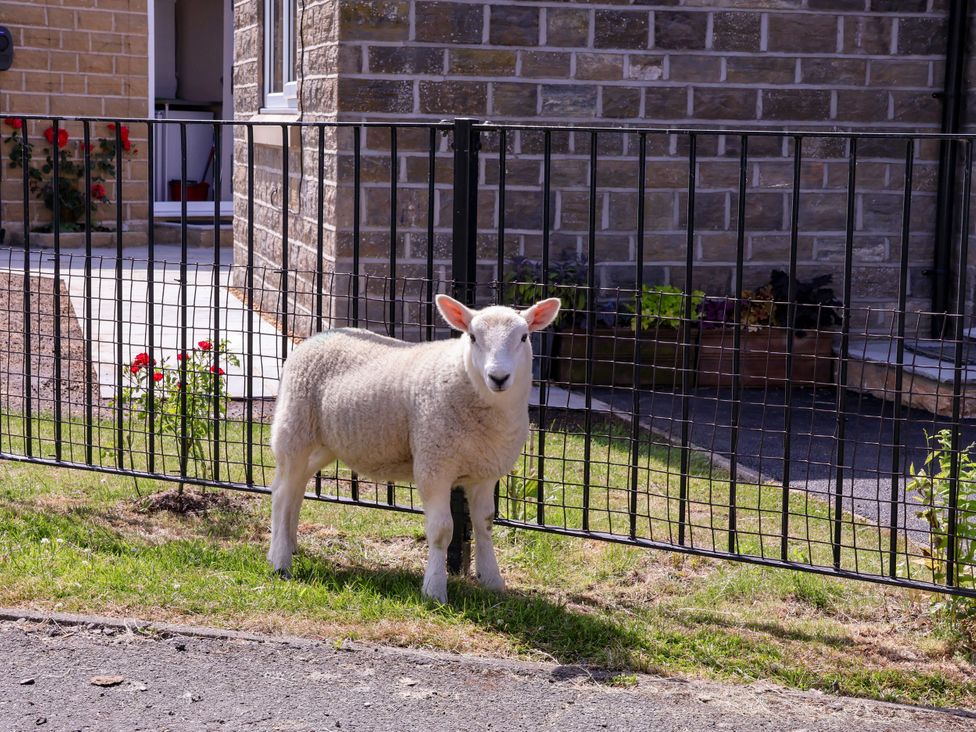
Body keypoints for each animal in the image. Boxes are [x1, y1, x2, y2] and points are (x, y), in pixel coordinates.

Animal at [267, 294, 561, 603]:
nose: (499, 377)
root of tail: (315, 337)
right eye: (472, 337)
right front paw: (434, 590)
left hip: (326, 442)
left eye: (524, 337)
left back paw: (289, 544)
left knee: (296, 486)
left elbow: (485, 524)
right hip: (295, 428)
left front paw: (492, 580)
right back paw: (280, 561)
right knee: (282, 493)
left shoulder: (485, 472)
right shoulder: (434, 465)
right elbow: (442, 530)